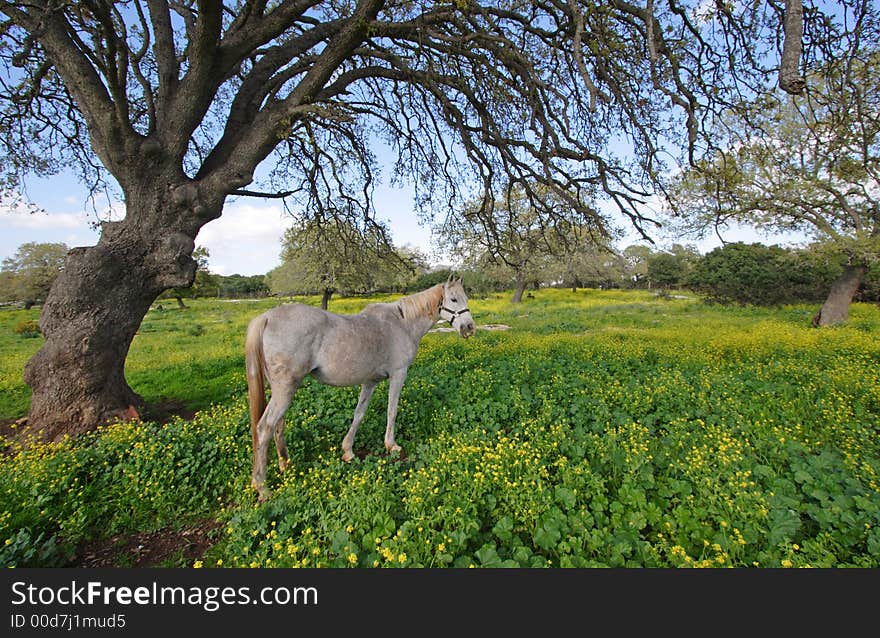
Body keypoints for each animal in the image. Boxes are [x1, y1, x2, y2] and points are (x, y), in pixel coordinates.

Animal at [244, 278, 474, 502]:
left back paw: (285, 464)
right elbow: (392, 411)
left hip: (281, 391)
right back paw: (262, 487)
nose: (469, 327)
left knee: (278, 425)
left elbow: (359, 413)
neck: (402, 324)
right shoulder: (399, 374)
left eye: (466, 298)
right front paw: (391, 445)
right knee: (264, 428)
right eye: (453, 299)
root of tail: (266, 318)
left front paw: (348, 450)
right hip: (285, 390)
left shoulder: (370, 382)